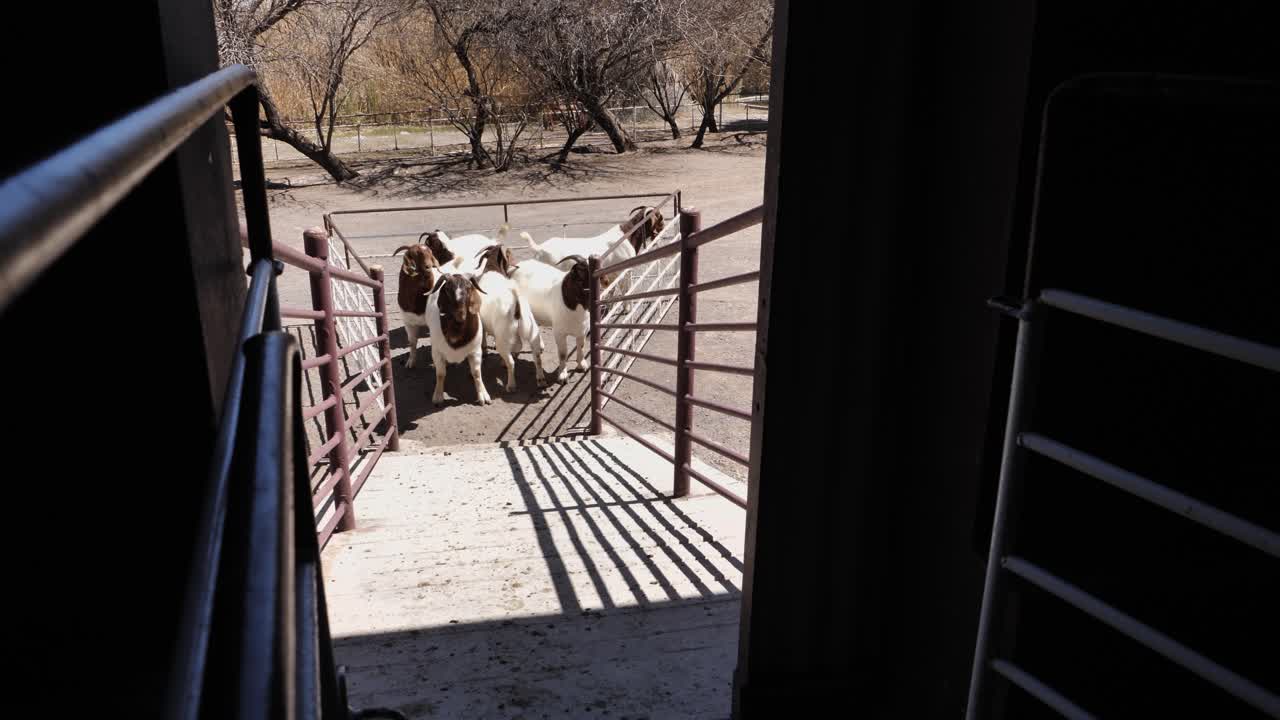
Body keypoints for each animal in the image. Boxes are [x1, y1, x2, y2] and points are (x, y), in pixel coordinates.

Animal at [425, 272, 491, 406]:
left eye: (468, 287)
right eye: (448, 289)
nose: (461, 315)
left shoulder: (475, 351)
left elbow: (477, 373)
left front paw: (483, 396)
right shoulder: (437, 352)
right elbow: (440, 374)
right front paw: (438, 396)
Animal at [472, 245, 547, 391]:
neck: (492, 269)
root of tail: (516, 302)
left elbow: (483, 337)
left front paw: (485, 351)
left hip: (503, 336)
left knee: (511, 362)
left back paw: (511, 385)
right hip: (530, 329)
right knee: (536, 356)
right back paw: (541, 380)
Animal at [509, 255, 592, 384]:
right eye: (579, 279)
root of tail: (518, 266)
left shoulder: (582, 330)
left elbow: (581, 347)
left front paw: (581, 365)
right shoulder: (559, 332)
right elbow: (563, 353)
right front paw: (562, 375)